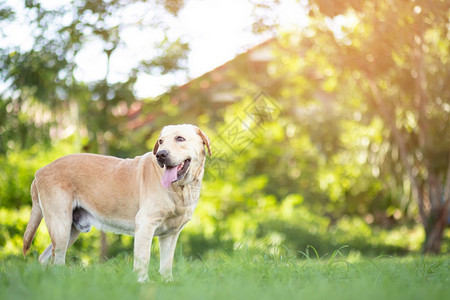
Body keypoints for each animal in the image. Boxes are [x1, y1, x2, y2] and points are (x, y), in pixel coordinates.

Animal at [24, 123, 213, 282]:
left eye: (180, 138)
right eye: (161, 141)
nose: (161, 154)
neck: (181, 189)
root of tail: (40, 171)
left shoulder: (170, 234)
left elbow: (166, 264)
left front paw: (168, 284)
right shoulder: (145, 224)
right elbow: (143, 259)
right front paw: (143, 283)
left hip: (71, 230)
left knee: (45, 258)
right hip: (60, 225)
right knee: (57, 259)